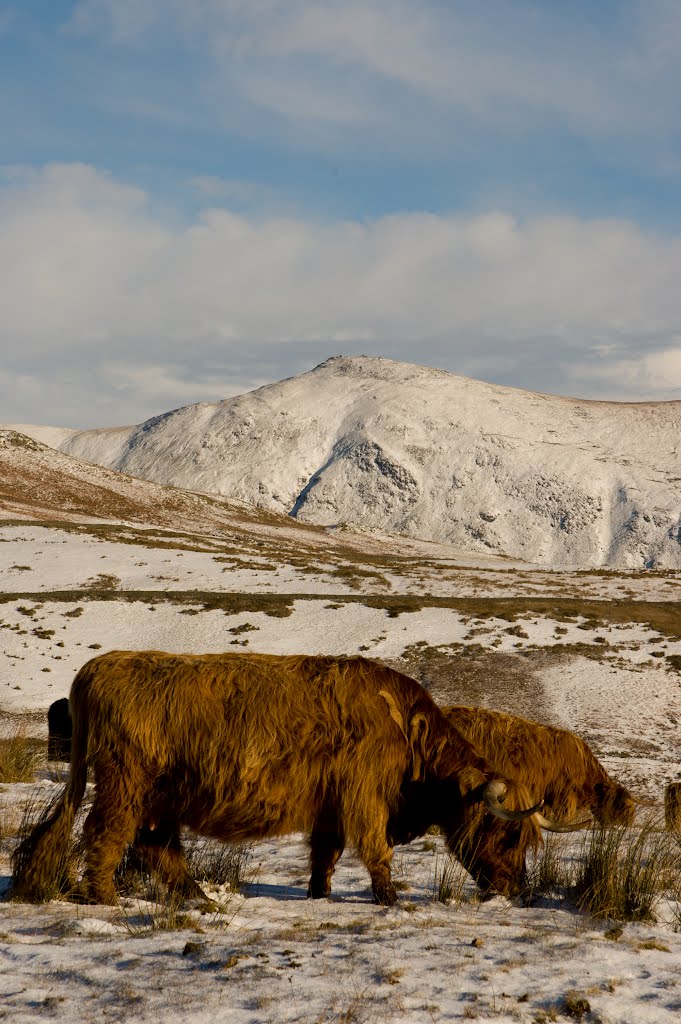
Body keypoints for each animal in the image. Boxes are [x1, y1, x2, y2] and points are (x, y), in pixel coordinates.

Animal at [13, 651, 544, 909]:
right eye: (509, 833)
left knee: (156, 844)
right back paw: (104, 898)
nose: (518, 889)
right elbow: (375, 850)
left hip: (161, 796)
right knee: (104, 833)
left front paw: (319, 894)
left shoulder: (332, 804)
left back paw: (197, 897)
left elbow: (326, 853)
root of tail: (99, 667)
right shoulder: (364, 797)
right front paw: (390, 898)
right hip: (126, 784)